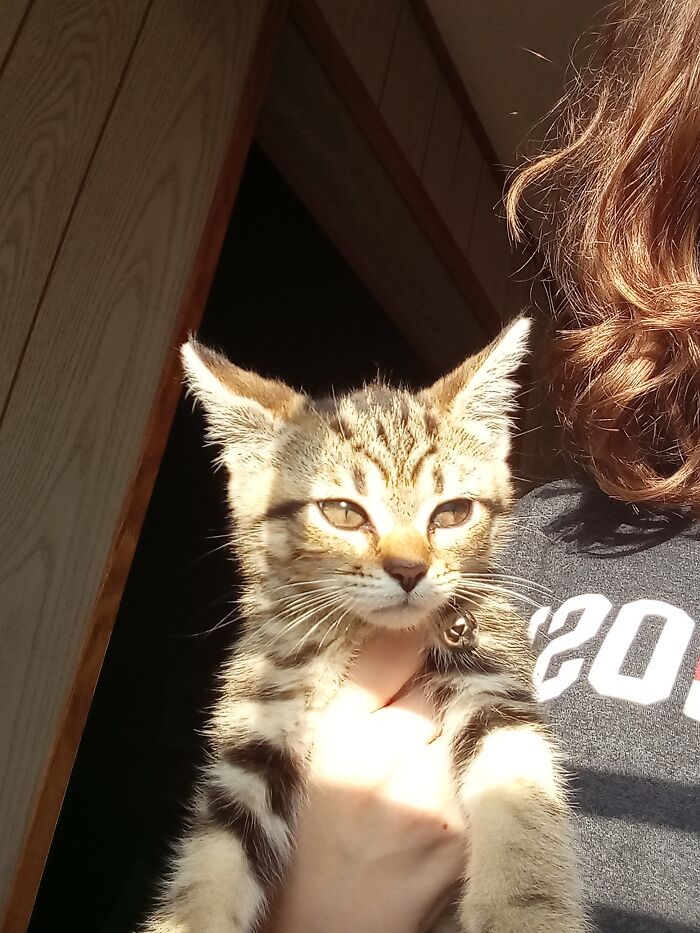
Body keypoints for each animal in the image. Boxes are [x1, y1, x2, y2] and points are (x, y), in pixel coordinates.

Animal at [141, 318, 584, 932]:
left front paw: (526, 909)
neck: (356, 638)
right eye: (343, 513)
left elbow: (519, 805)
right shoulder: (256, 721)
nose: (408, 569)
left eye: (452, 513)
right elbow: (213, 861)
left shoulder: (494, 678)